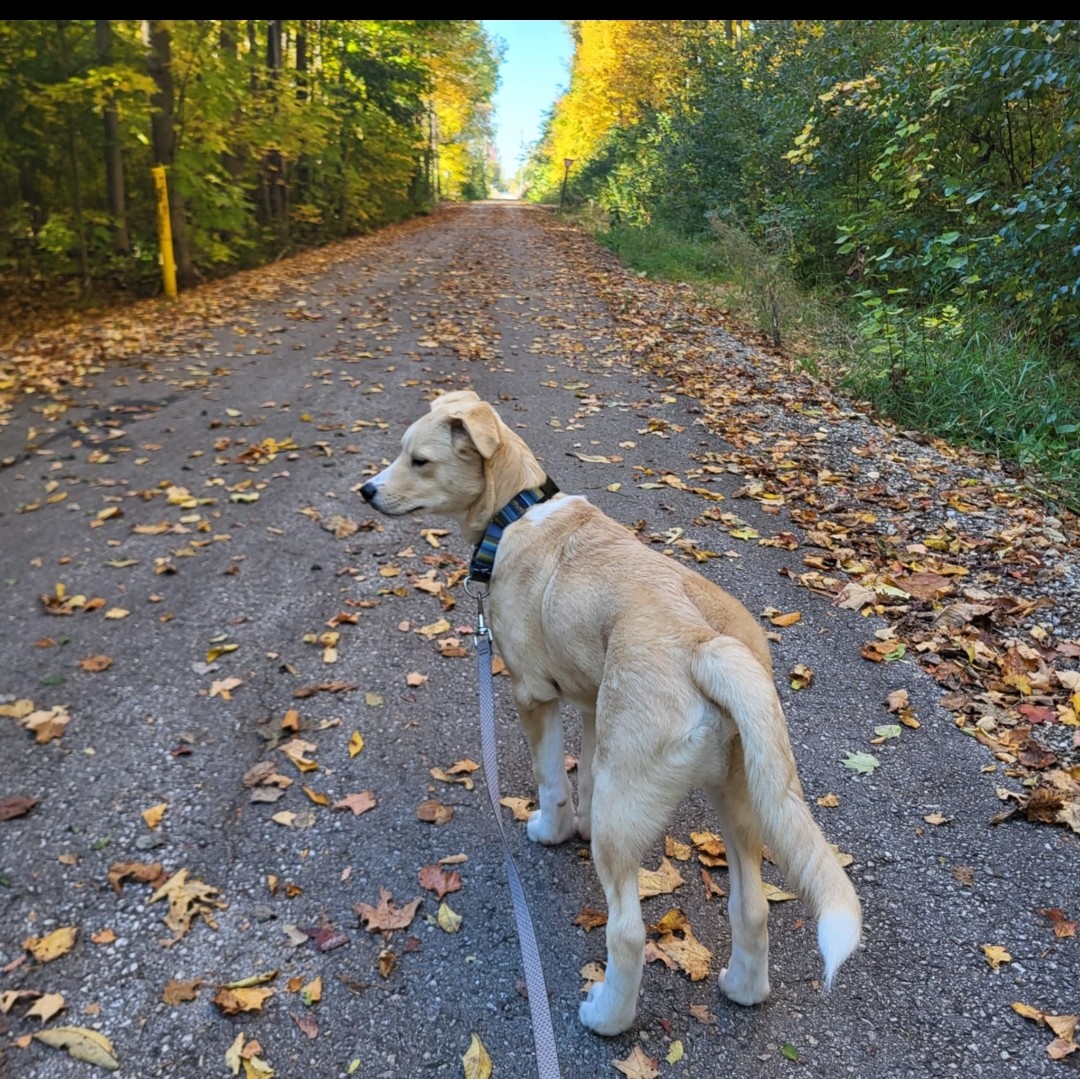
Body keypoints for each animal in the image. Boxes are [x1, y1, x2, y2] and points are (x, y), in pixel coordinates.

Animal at [362, 390, 859, 1036]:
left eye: (418, 460)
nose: (365, 491)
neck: (517, 514)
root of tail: (703, 644)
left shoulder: (533, 695)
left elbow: (553, 781)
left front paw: (552, 832)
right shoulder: (594, 707)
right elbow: (586, 776)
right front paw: (579, 821)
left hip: (631, 825)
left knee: (626, 933)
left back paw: (605, 1016)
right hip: (742, 797)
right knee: (751, 907)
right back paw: (742, 989)